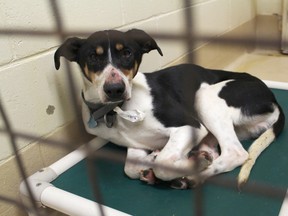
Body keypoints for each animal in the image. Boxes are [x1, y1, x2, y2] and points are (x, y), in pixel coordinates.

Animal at [54, 28, 286, 189]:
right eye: (93, 56)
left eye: (127, 53)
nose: (115, 89)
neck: (117, 110)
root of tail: (273, 98)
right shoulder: (135, 144)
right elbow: (131, 168)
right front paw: (151, 161)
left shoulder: (190, 126)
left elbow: (164, 163)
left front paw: (179, 163)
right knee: (217, 150)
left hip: (205, 97)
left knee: (236, 153)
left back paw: (193, 171)